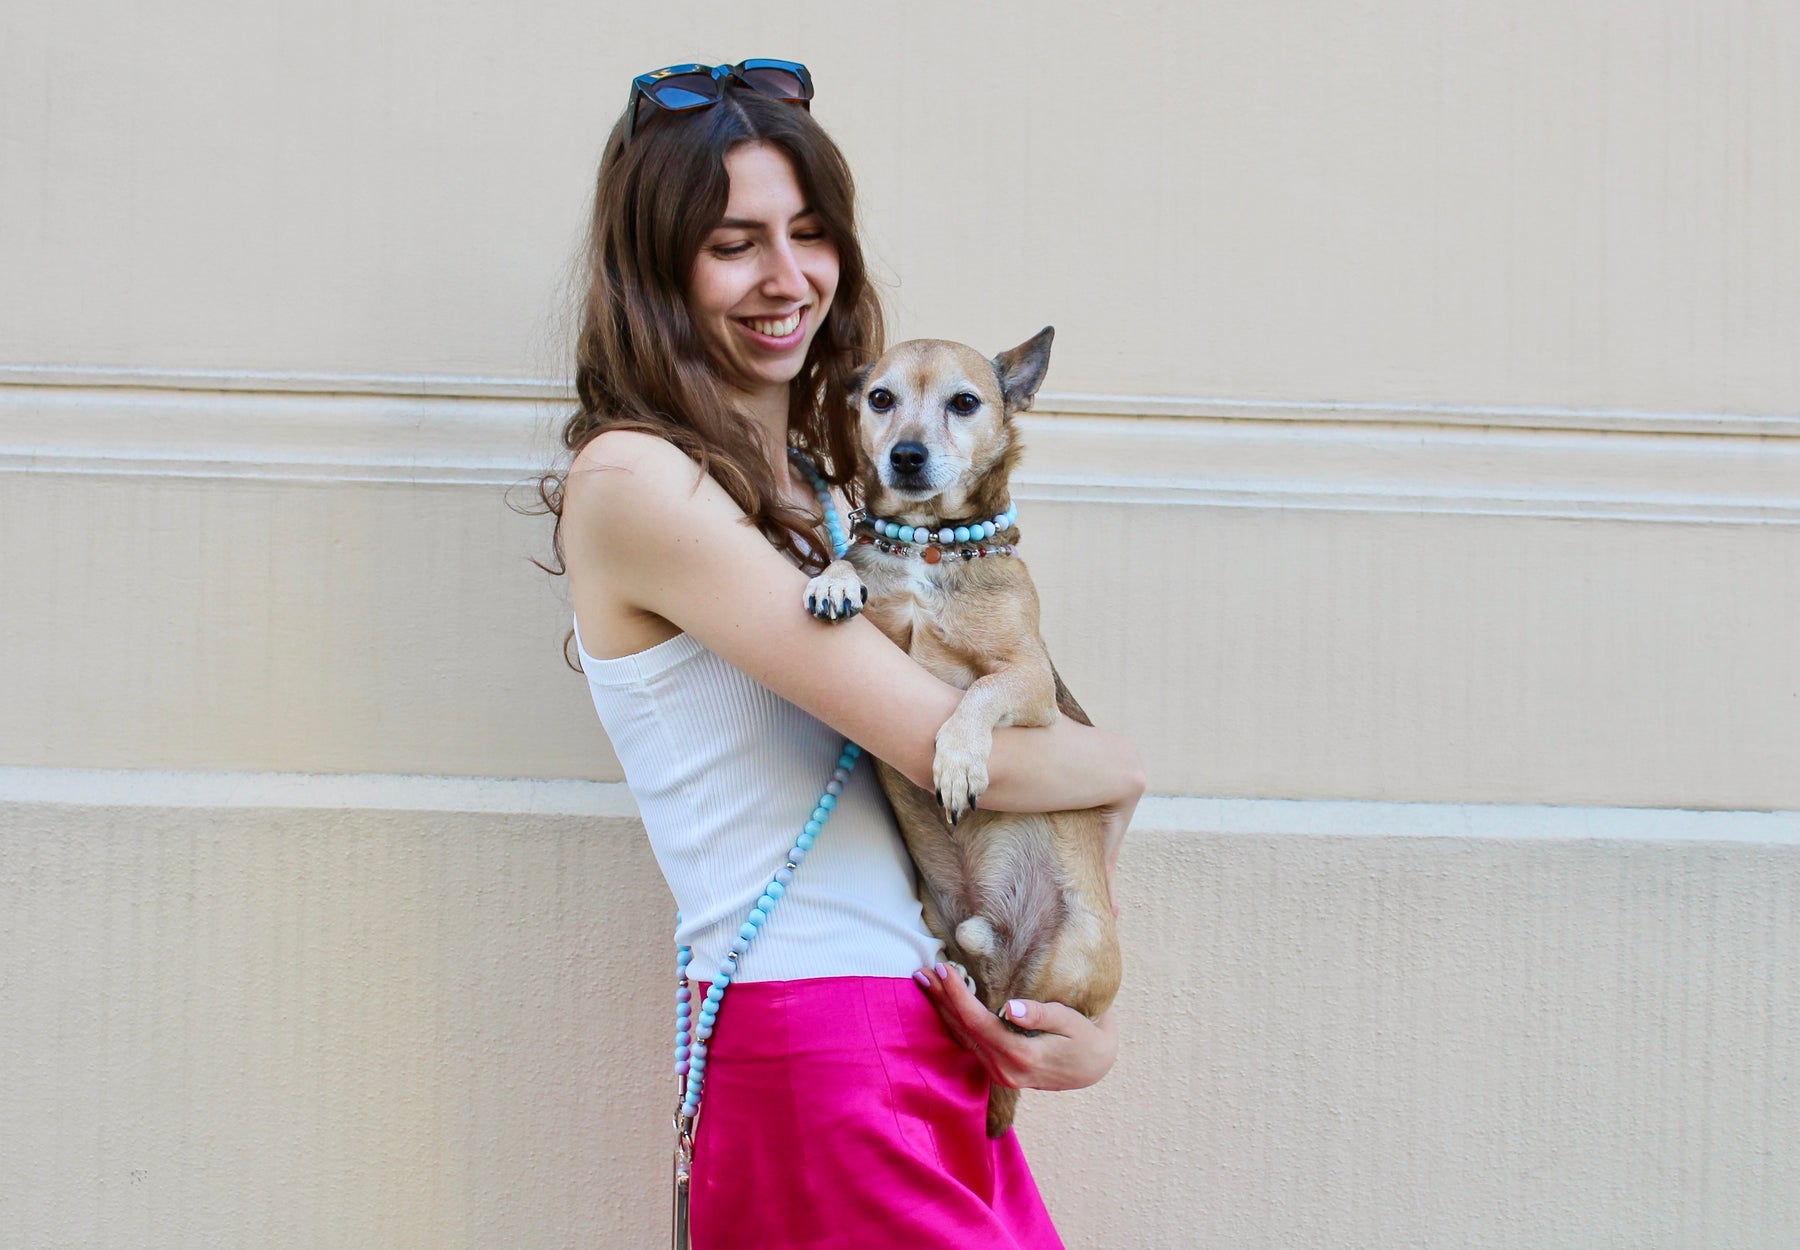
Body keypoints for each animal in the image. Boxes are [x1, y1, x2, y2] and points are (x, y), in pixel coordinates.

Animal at [806, 327, 1116, 1138]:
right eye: (879, 398)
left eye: (966, 403)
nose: (907, 455)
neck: (929, 546)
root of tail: (1004, 958)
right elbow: (848, 559)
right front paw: (832, 578)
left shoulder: (1029, 682)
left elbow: (978, 690)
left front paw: (958, 761)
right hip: (944, 930)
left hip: (1075, 952)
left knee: (1019, 1025)